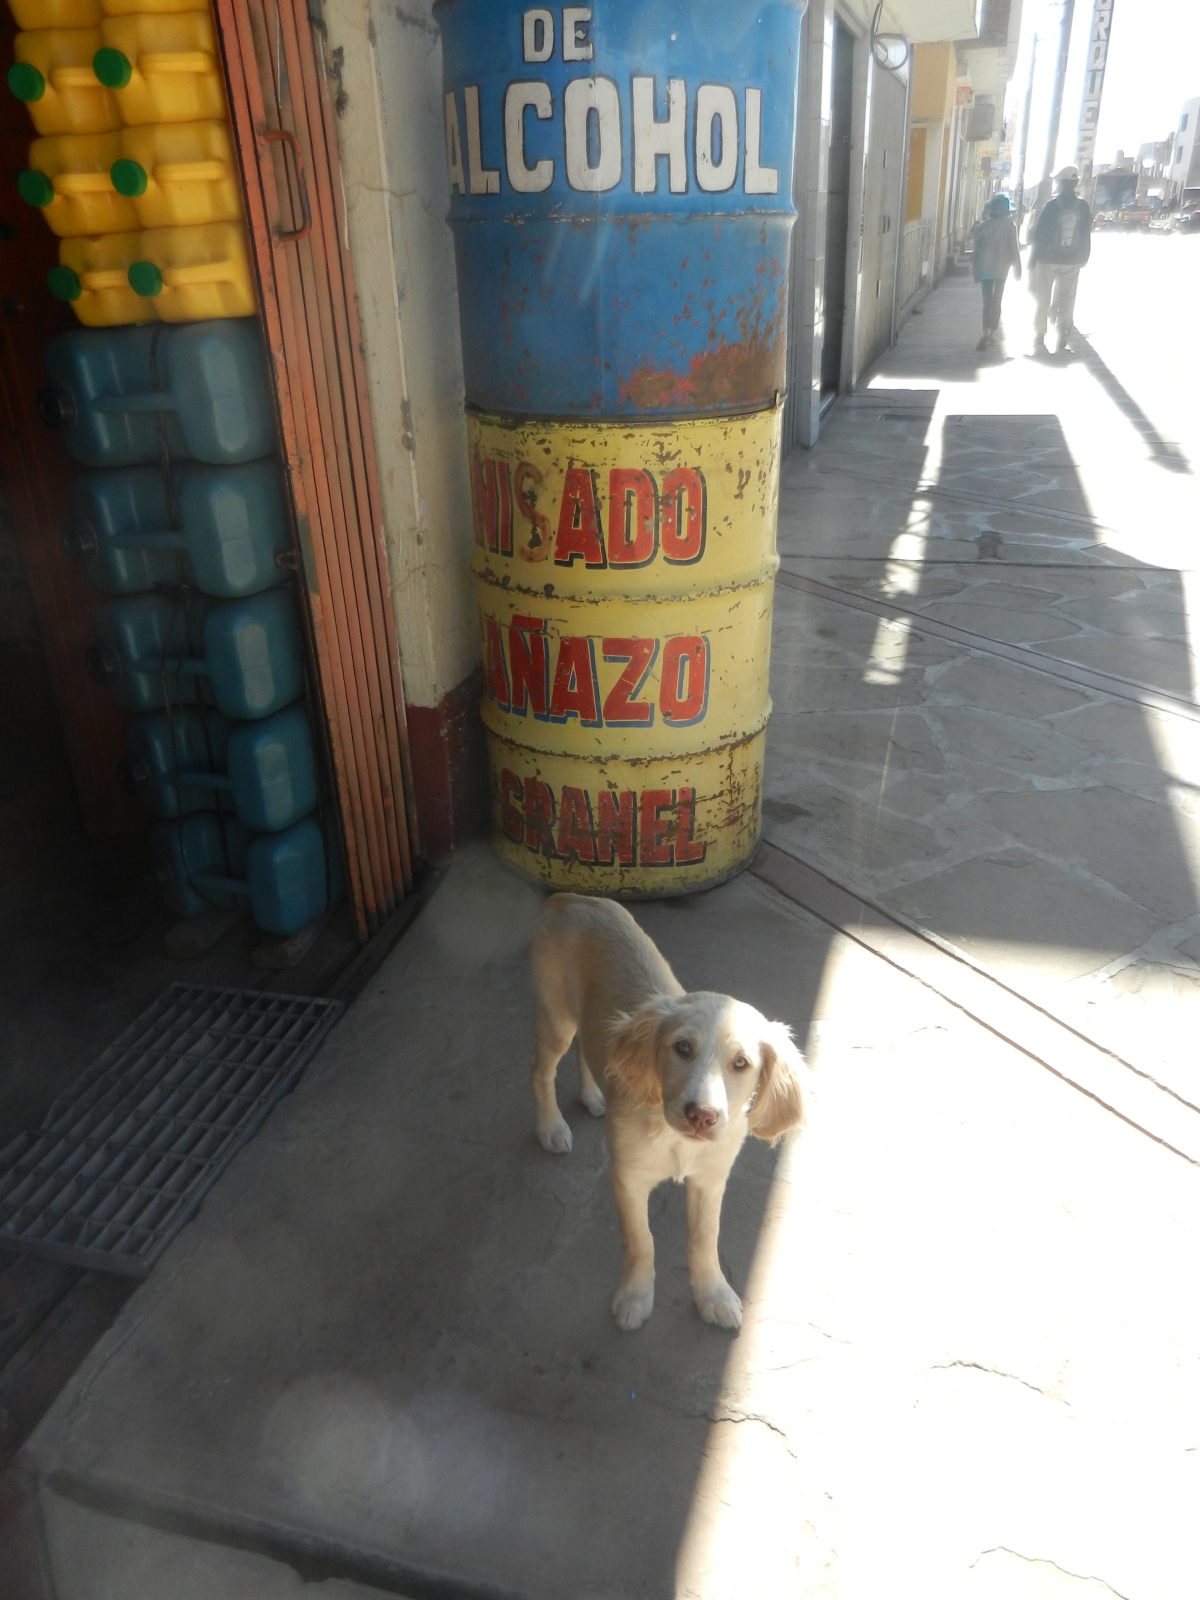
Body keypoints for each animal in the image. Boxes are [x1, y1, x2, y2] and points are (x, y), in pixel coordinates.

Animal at [529, 893, 807, 1331]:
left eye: (741, 1063)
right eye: (682, 1048)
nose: (702, 1116)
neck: (675, 1137)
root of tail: (571, 897)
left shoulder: (711, 1179)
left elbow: (705, 1239)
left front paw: (713, 1294)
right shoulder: (628, 1176)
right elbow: (640, 1240)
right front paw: (635, 1297)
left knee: (588, 1050)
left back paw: (592, 1096)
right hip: (554, 1015)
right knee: (541, 1068)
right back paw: (550, 1127)